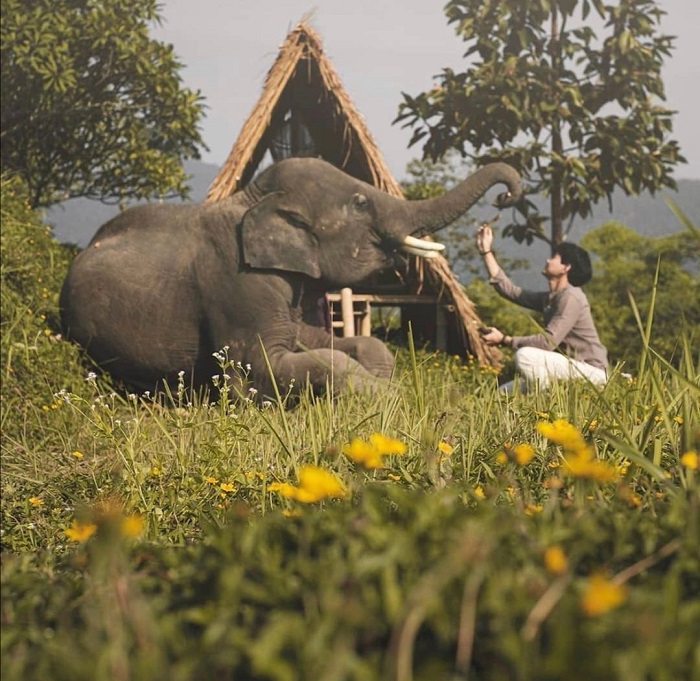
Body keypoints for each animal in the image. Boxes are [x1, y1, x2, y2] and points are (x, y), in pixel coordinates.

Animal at [60, 158, 520, 398]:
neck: (252, 198)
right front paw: (394, 399)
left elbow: (325, 339)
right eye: (359, 202)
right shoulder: (238, 281)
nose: (507, 194)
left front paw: (384, 382)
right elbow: (259, 367)